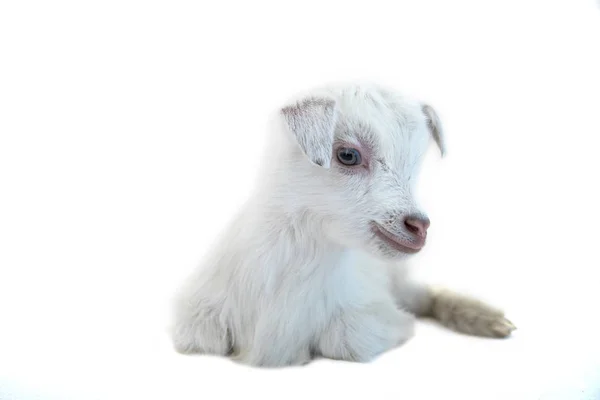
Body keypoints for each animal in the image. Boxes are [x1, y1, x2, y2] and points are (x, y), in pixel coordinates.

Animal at [172, 83, 516, 368]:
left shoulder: (370, 313)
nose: (419, 226)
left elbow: (347, 338)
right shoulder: (192, 322)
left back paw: (490, 320)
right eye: (348, 155)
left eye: (414, 167)